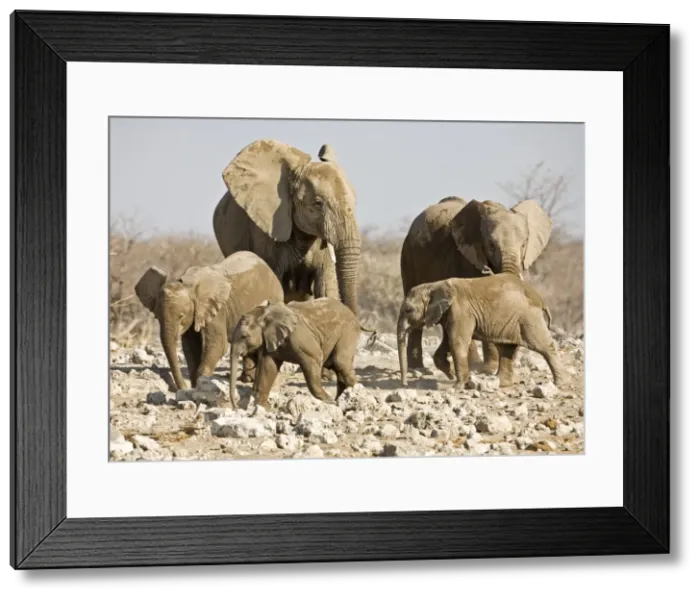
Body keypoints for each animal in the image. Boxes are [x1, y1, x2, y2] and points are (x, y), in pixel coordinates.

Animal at [134, 250, 284, 391]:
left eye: (181, 316)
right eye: (157, 317)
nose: (183, 387)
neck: (189, 286)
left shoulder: (217, 310)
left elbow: (218, 344)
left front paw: (200, 386)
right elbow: (191, 348)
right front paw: (193, 388)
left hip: (274, 299)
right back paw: (247, 379)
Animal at [228, 297, 378, 411]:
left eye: (244, 336)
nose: (235, 407)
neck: (263, 313)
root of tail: (355, 317)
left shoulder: (299, 337)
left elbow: (314, 358)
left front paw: (328, 401)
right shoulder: (269, 341)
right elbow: (268, 367)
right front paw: (263, 408)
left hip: (348, 331)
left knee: (341, 362)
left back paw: (354, 396)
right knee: (338, 366)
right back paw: (340, 400)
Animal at [396, 273, 567, 390]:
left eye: (408, 310)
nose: (404, 385)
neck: (433, 285)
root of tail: (539, 298)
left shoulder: (460, 310)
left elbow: (457, 342)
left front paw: (457, 387)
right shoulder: (448, 313)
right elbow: (447, 343)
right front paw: (451, 374)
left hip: (529, 317)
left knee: (544, 346)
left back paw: (559, 383)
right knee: (506, 349)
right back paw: (500, 383)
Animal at [399, 196, 552, 377]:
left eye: (524, 245)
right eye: (491, 246)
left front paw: (490, 369)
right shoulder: (462, 257)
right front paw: (486, 369)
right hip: (408, 255)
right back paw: (419, 369)